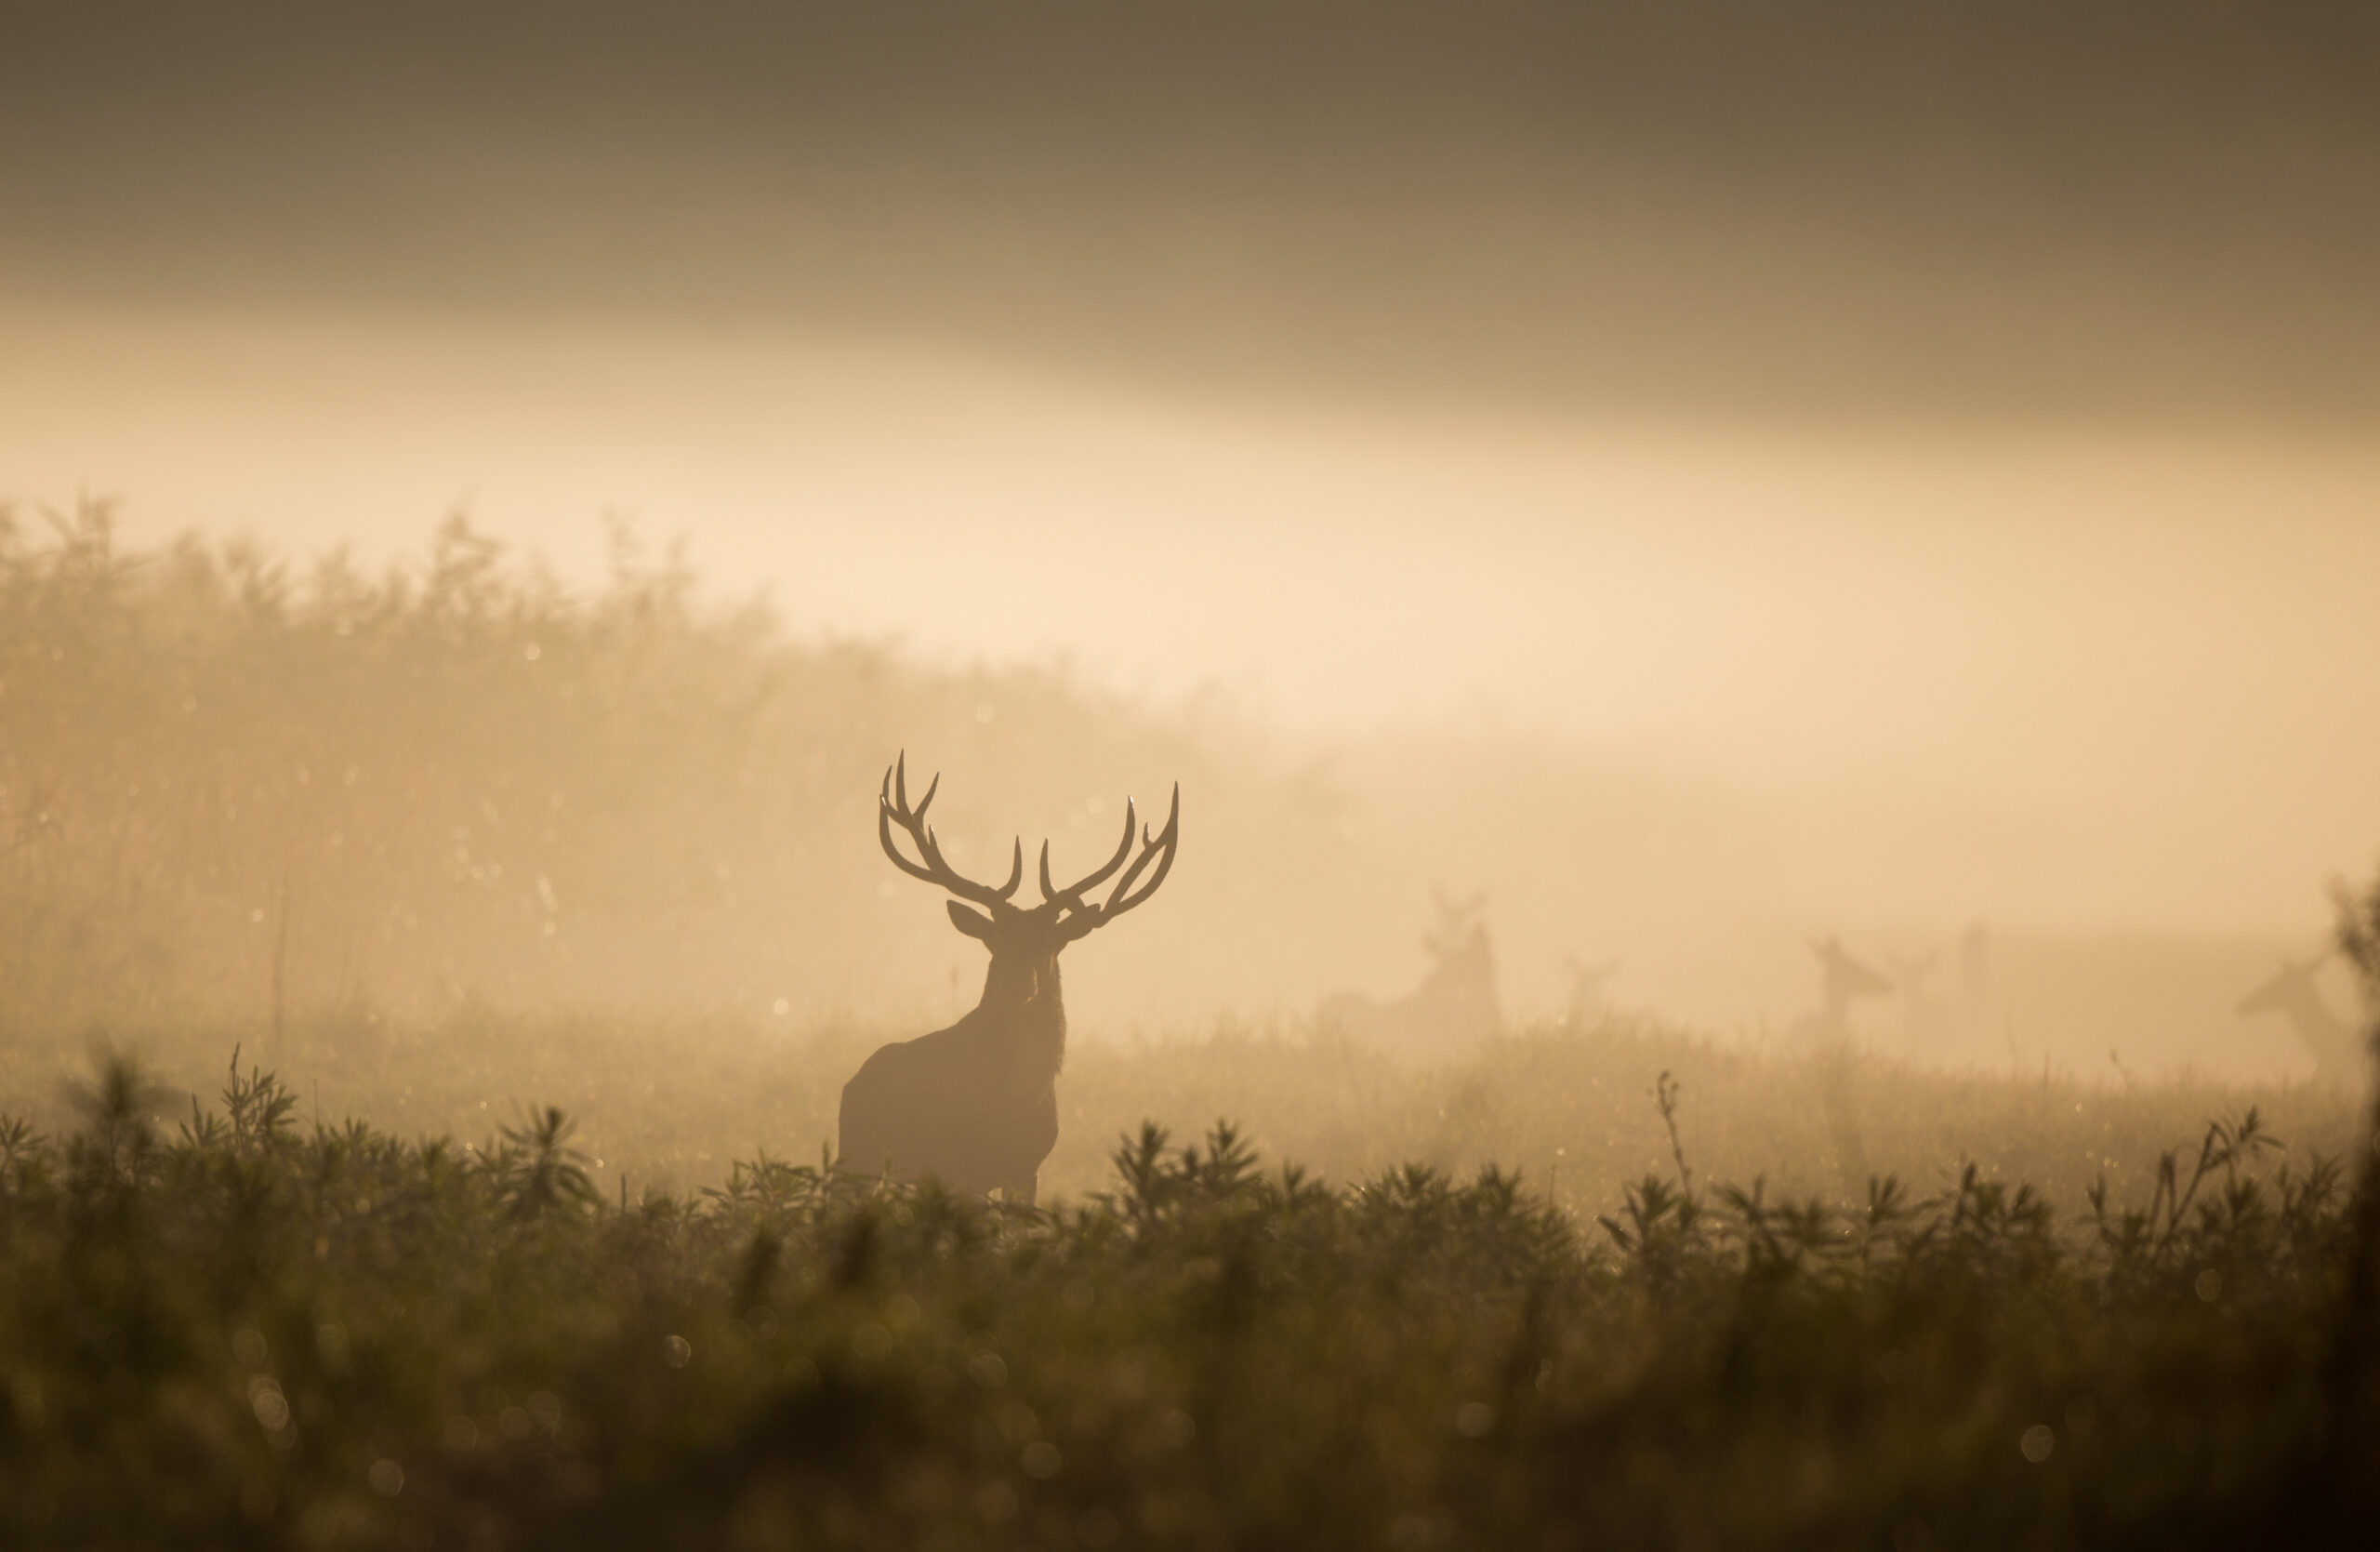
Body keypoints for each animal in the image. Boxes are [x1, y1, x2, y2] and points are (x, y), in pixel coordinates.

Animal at [837, 753, 1179, 1204]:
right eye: (995, 941)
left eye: (1051, 943)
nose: (1019, 985)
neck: (1011, 1100)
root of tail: (853, 1082)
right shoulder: (958, 1168)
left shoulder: (1027, 1167)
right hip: (857, 1155)